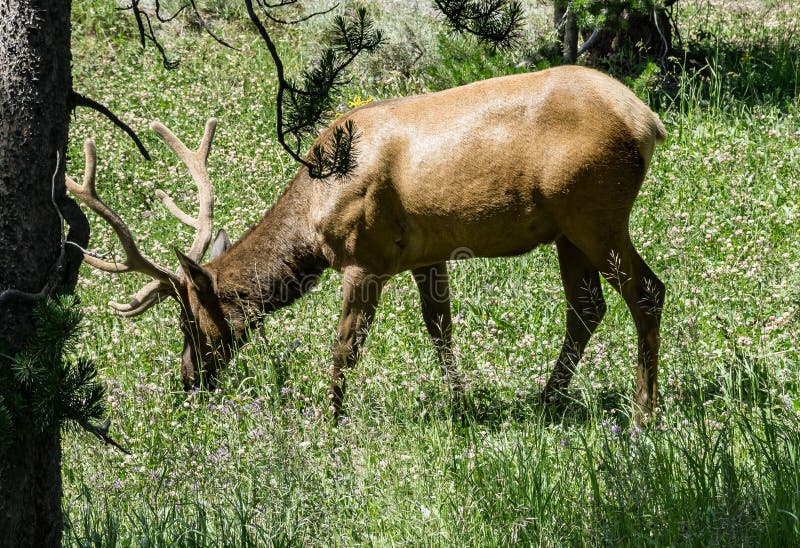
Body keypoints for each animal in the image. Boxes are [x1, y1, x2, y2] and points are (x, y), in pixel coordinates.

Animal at [69, 65, 668, 416]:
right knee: (586, 307)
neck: (313, 214)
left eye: (187, 322)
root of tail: (647, 120)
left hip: (595, 212)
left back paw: (643, 413)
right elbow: (440, 329)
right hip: (568, 229)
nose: (187, 382)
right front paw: (462, 407)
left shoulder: (364, 256)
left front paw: (330, 422)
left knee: (647, 292)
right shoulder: (427, 253)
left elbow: (345, 348)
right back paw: (548, 401)